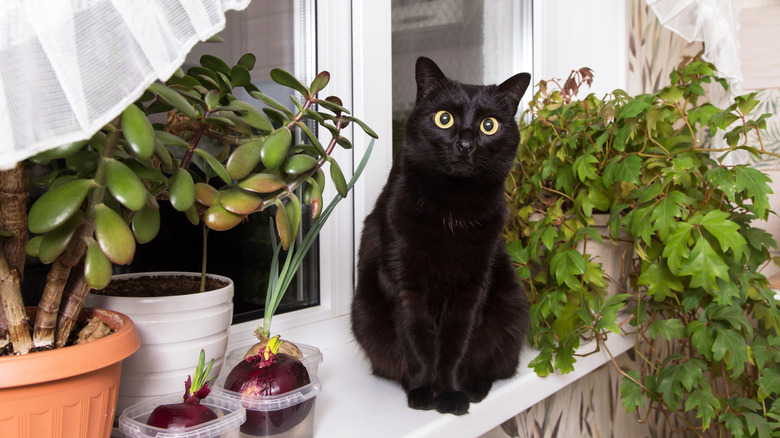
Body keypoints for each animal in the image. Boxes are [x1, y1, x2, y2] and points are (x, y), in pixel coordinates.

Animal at [352, 57, 532, 414]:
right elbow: (418, 339)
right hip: (365, 316)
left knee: (497, 366)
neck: (453, 208)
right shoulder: (403, 279)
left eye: (489, 125)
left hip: (512, 312)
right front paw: (424, 391)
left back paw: (474, 389)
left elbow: (456, 343)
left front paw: (450, 394)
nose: (465, 144)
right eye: (444, 118)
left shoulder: (473, 285)